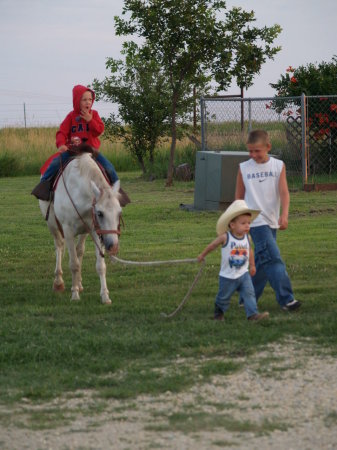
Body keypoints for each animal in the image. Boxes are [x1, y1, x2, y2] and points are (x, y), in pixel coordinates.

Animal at [38, 153, 122, 304]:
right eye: (100, 213)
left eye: (119, 213)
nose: (113, 246)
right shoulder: (68, 231)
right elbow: (74, 264)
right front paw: (75, 294)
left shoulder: (96, 231)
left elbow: (100, 266)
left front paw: (105, 295)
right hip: (53, 226)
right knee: (59, 247)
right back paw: (58, 282)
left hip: (84, 232)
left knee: (79, 250)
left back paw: (79, 283)